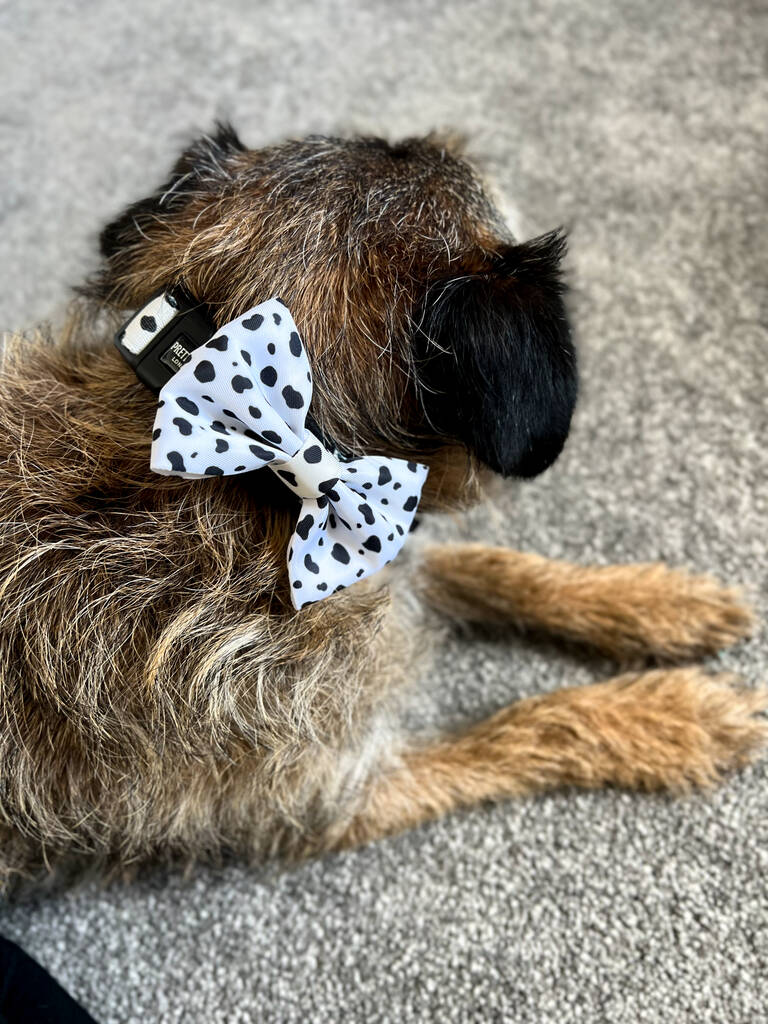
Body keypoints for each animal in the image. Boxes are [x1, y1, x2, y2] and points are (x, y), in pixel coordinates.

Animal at [0, 123, 765, 884]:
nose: (453, 132)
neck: (255, 475)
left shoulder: (384, 546)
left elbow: (495, 569)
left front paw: (651, 600)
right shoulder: (339, 793)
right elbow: (527, 727)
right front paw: (677, 716)